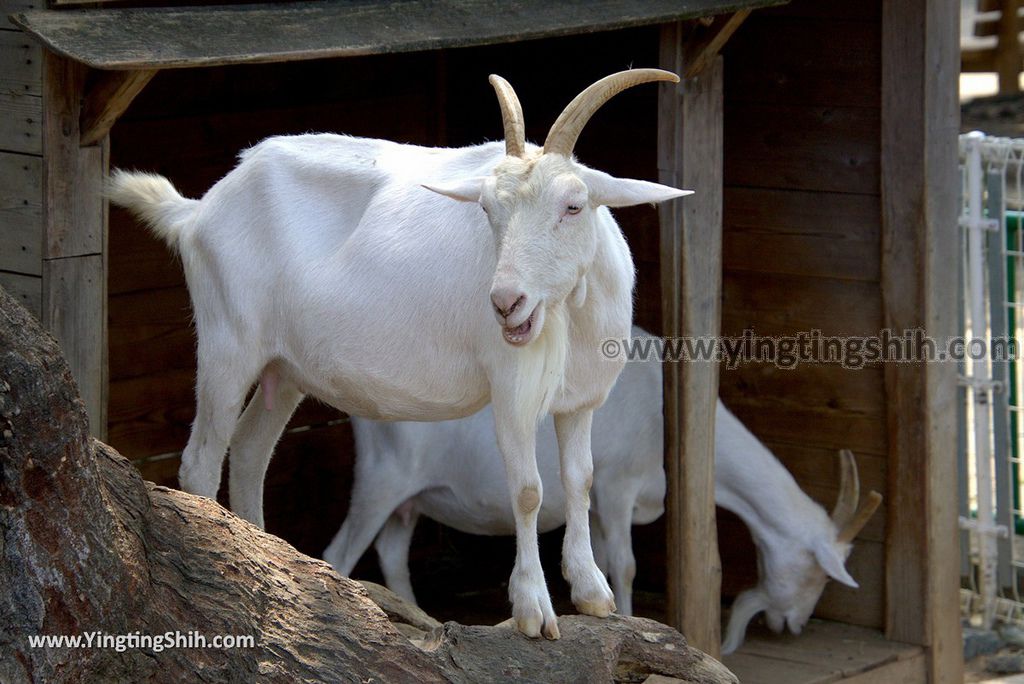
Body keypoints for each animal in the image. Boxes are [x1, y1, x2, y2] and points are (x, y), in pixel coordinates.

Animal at [108, 70, 688, 643]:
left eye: (572, 205)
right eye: (487, 209)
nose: (506, 302)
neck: (569, 312)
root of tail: (197, 212)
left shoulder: (580, 402)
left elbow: (579, 480)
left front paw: (593, 596)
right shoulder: (511, 393)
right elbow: (528, 490)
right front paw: (533, 611)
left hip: (284, 368)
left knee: (251, 451)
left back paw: (269, 563)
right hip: (228, 340)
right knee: (201, 460)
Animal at [325, 327, 880, 655]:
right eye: (817, 573)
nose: (793, 624)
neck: (662, 408)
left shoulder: (595, 505)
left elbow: (599, 558)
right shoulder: (618, 486)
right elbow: (626, 565)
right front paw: (636, 626)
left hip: (409, 498)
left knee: (393, 551)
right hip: (382, 476)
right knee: (341, 551)